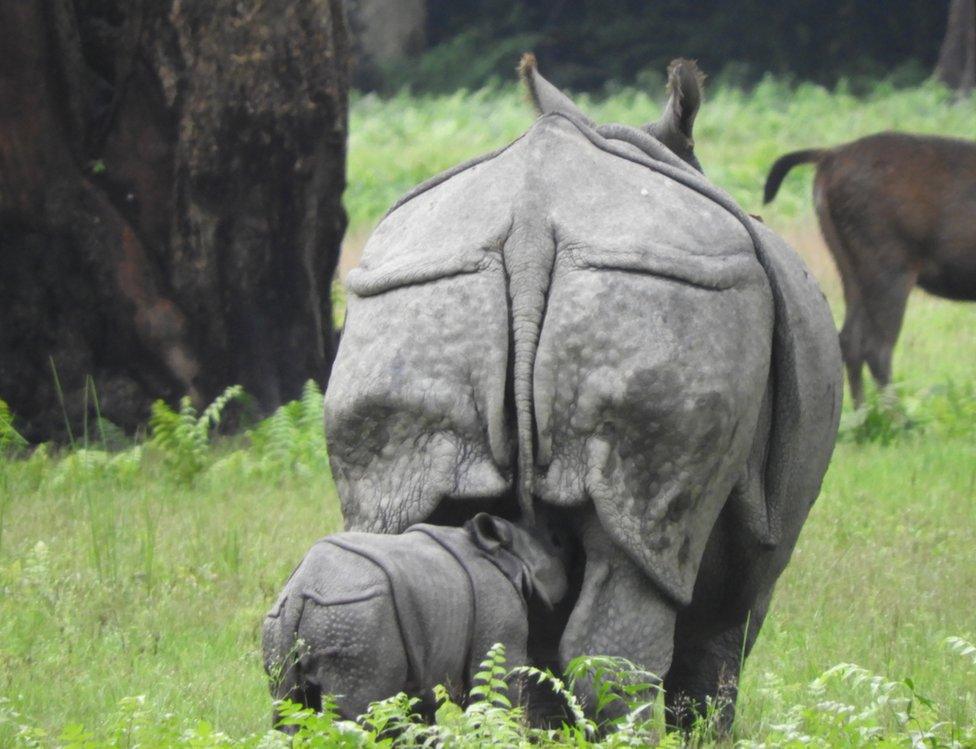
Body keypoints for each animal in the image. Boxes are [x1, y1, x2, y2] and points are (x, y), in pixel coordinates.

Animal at [264, 512, 568, 720]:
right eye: (556, 541)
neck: (507, 555)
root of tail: (300, 590)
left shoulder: (422, 656)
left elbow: (422, 710)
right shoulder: (499, 613)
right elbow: (495, 694)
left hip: (282, 619)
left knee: (288, 705)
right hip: (354, 616)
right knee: (363, 709)